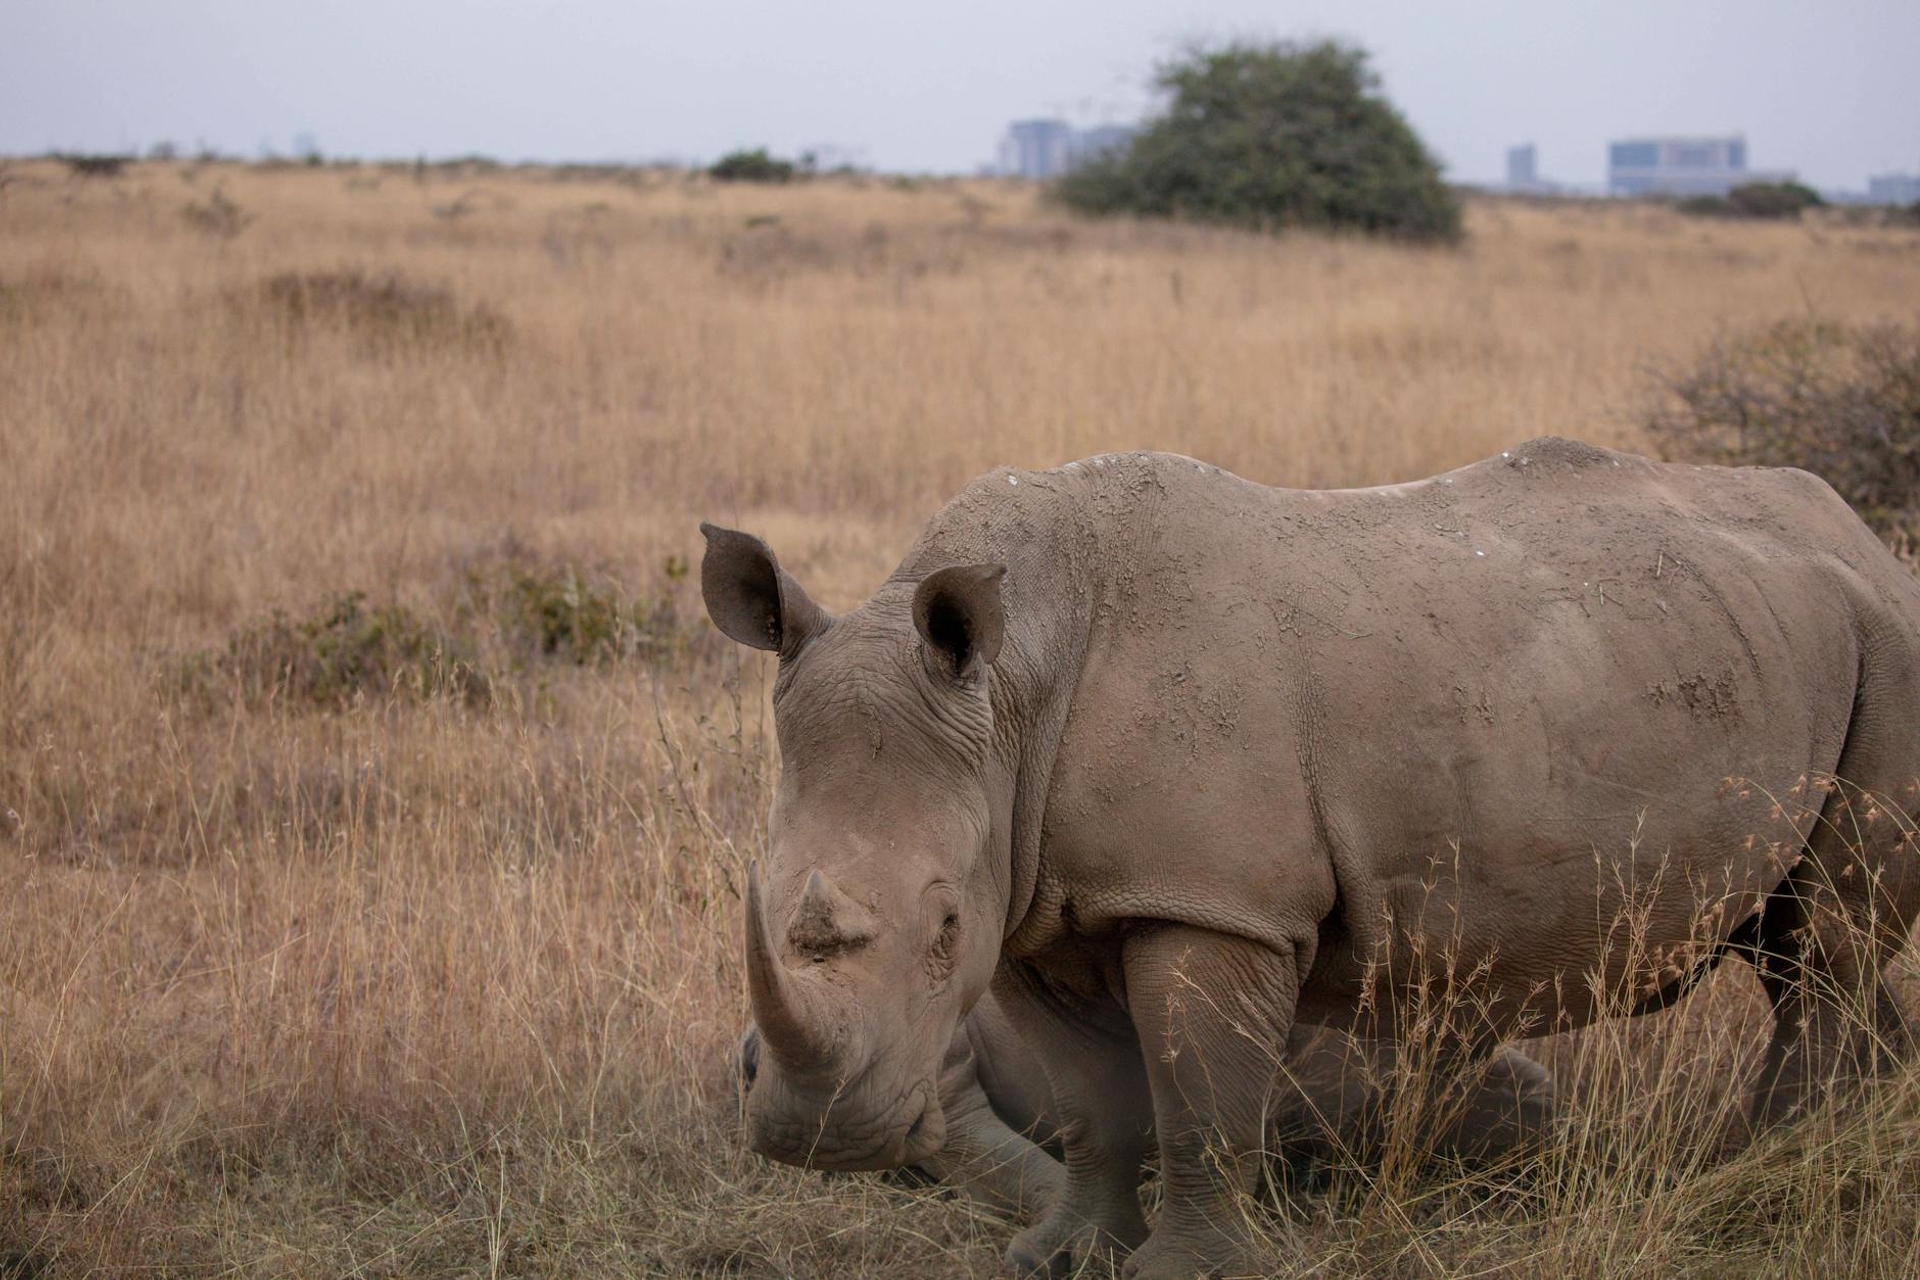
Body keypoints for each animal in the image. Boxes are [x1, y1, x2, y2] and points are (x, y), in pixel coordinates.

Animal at [702, 439, 1920, 1278]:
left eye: (944, 925)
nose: (818, 1136)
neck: (1012, 692)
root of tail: (1867, 538)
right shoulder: (1042, 897)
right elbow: (1097, 1102)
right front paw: (1062, 1258)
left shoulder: (1213, 901)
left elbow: (1197, 1099)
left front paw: (1187, 1272)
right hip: (1761, 645)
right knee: (1803, 948)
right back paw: (1818, 1154)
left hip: (1887, 647)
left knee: (1823, 946)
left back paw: (1763, 1179)